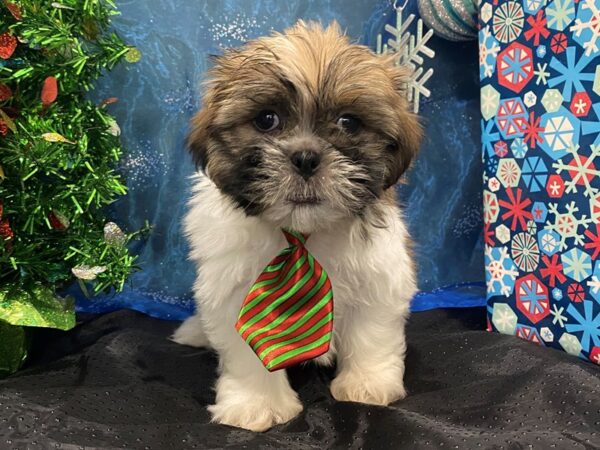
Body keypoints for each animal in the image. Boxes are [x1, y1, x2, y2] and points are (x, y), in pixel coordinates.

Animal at [171, 21, 420, 432]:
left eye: (348, 122)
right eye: (266, 119)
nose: (305, 157)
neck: (301, 234)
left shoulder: (380, 274)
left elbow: (372, 331)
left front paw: (367, 383)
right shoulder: (235, 288)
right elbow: (246, 349)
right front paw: (256, 403)